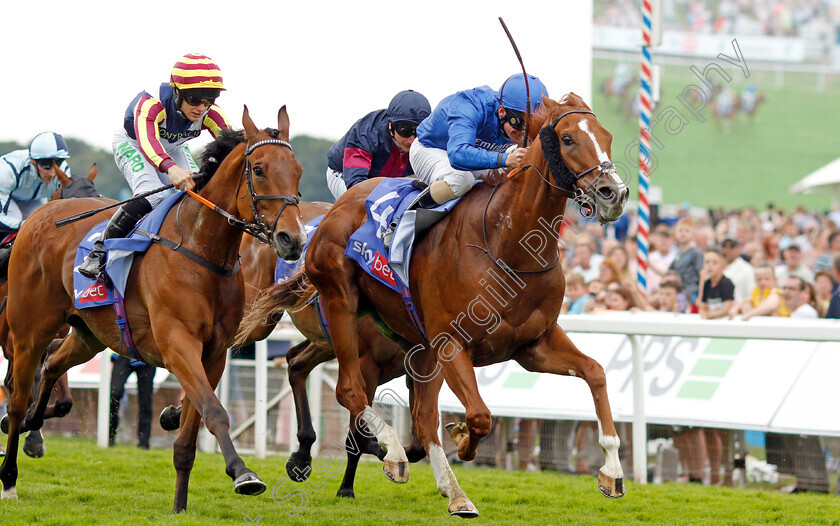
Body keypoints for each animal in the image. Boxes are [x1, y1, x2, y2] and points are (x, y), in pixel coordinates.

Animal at [0, 163, 100, 460]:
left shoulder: (59, 336)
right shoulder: (18, 343)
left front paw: (31, 435)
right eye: (74, 199)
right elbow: (22, 389)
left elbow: (63, 400)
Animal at [240, 93, 628, 516]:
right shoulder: (448, 343)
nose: (614, 193)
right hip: (339, 304)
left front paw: (611, 471)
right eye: (569, 138)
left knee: (345, 384)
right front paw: (458, 440)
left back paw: (448, 489)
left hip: (409, 345)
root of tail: (336, 207)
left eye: (607, 135)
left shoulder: (533, 345)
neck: (507, 242)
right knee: (347, 390)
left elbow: (595, 373)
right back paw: (390, 454)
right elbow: (479, 416)